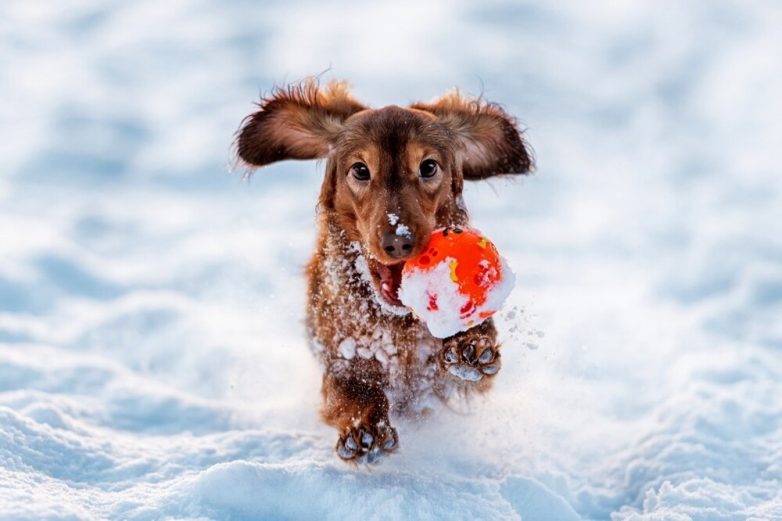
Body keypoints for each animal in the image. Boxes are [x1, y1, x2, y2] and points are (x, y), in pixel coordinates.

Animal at [236, 79, 536, 462]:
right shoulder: (341, 353)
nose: (399, 241)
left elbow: (474, 355)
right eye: (360, 170)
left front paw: (469, 345)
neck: (396, 322)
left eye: (428, 167)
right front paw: (365, 428)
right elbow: (351, 388)